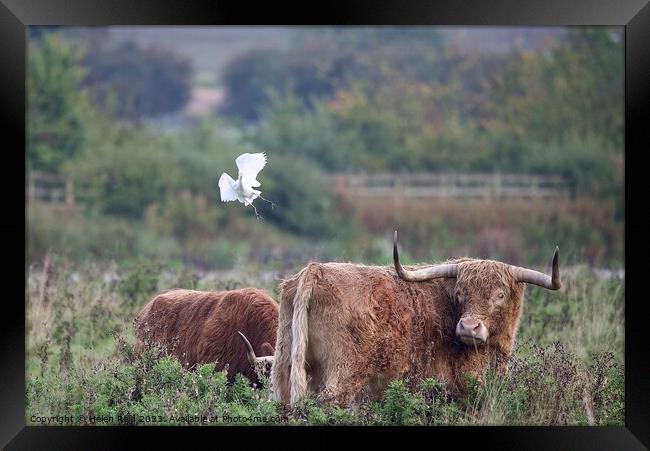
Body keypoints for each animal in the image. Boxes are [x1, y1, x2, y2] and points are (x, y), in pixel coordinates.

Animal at [270, 231, 560, 408]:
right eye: (460, 294)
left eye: (500, 295)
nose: (469, 328)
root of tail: (315, 270)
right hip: (342, 377)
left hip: (284, 366)